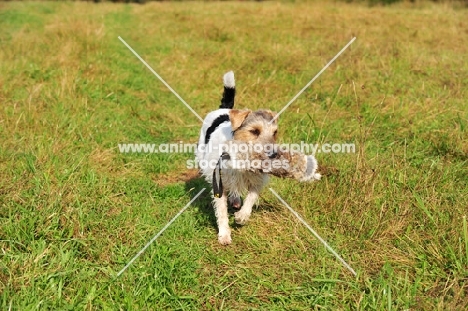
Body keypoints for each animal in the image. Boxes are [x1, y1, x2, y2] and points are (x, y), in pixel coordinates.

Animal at [197, 71, 278, 246]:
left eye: (275, 133)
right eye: (254, 131)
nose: (273, 154)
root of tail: (225, 109)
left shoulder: (257, 180)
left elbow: (251, 198)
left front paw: (242, 217)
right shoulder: (219, 182)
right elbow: (221, 212)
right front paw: (224, 235)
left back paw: (236, 202)